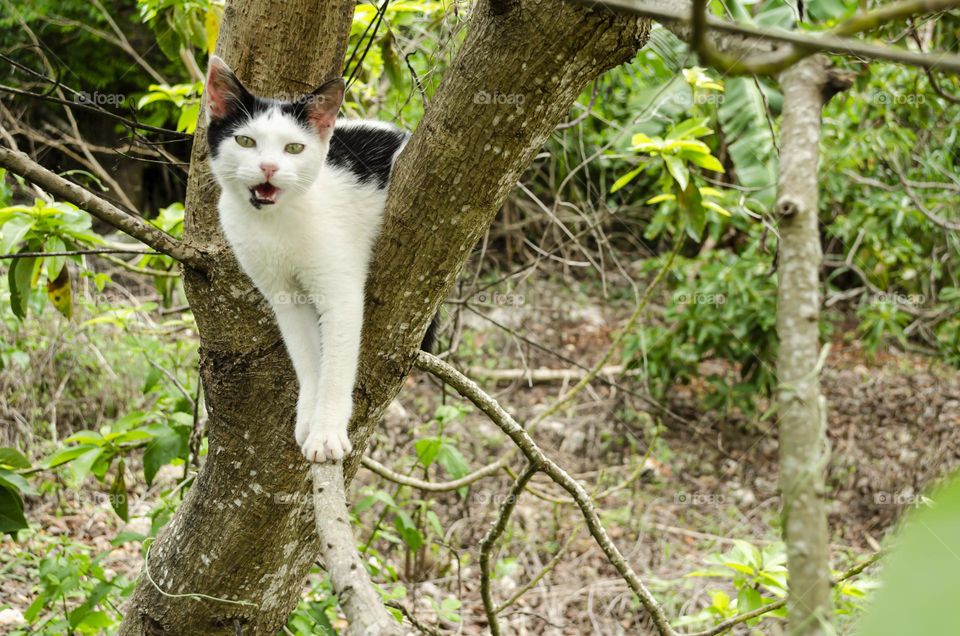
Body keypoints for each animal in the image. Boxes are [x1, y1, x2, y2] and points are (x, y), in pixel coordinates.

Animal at [206, 56, 408, 462]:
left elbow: (336, 366)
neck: (274, 224)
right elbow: (308, 358)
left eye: (294, 148)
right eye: (245, 140)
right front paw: (308, 419)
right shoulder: (285, 298)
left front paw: (326, 432)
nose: (268, 167)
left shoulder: (340, 293)